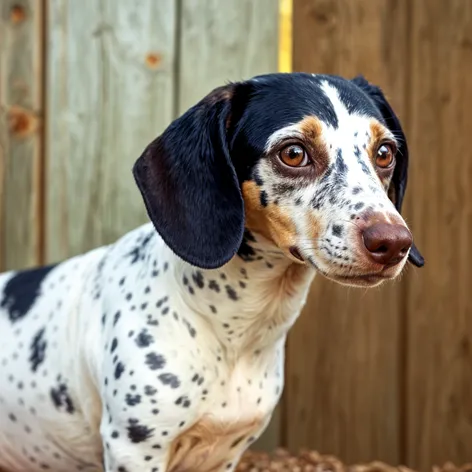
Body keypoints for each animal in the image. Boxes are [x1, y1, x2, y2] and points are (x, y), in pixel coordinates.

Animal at [0, 73, 424, 472]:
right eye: (293, 153)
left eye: (384, 152)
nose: (394, 242)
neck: (233, 333)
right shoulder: (134, 448)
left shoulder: (226, 452)